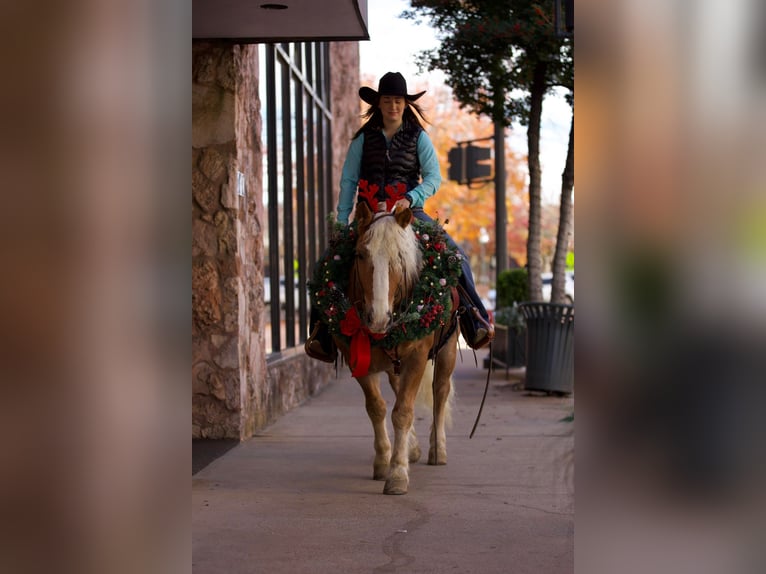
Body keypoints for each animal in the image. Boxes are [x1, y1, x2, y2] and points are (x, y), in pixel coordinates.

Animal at [334, 201, 456, 496]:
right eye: (360, 255)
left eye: (400, 258)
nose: (378, 318)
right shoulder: (357, 358)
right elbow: (377, 407)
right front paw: (383, 461)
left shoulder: (417, 357)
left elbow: (402, 412)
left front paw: (398, 473)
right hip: (393, 365)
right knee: (399, 389)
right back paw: (412, 448)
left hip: (447, 352)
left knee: (440, 392)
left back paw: (437, 449)